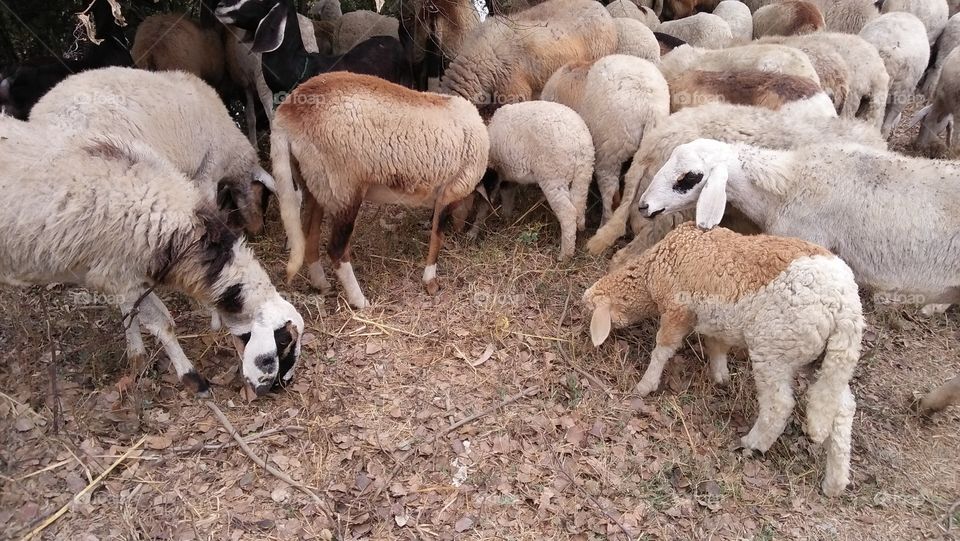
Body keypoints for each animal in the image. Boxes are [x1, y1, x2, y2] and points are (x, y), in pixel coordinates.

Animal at [0, 117, 304, 397]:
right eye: (281, 344)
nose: (280, 387)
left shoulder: (127, 276)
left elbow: (132, 314)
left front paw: (137, 357)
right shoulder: (121, 273)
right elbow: (162, 324)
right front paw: (192, 378)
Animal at [269, 72, 488, 309]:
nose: (461, 231)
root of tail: (287, 115)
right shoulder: (450, 191)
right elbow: (437, 235)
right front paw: (430, 281)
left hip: (316, 183)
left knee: (310, 237)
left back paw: (322, 284)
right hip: (344, 189)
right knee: (336, 250)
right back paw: (360, 301)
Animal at [471, 101, 594, 259]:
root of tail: (580, 142)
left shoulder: (494, 175)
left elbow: (484, 204)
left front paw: (473, 232)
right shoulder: (507, 176)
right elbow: (507, 195)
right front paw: (506, 219)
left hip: (553, 176)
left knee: (568, 213)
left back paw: (564, 256)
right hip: (584, 173)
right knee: (579, 207)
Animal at [584, 222, 862, 497]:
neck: (653, 272)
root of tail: (846, 308)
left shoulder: (678, 309)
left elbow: (663, 348)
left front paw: (645, 385)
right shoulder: (715, 323)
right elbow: (716, 346)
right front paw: (720, 376)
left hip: (774, 349)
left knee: (779, 404)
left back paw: (753, 444)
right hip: (828, 359)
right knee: (842, 408)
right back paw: (835, 482)